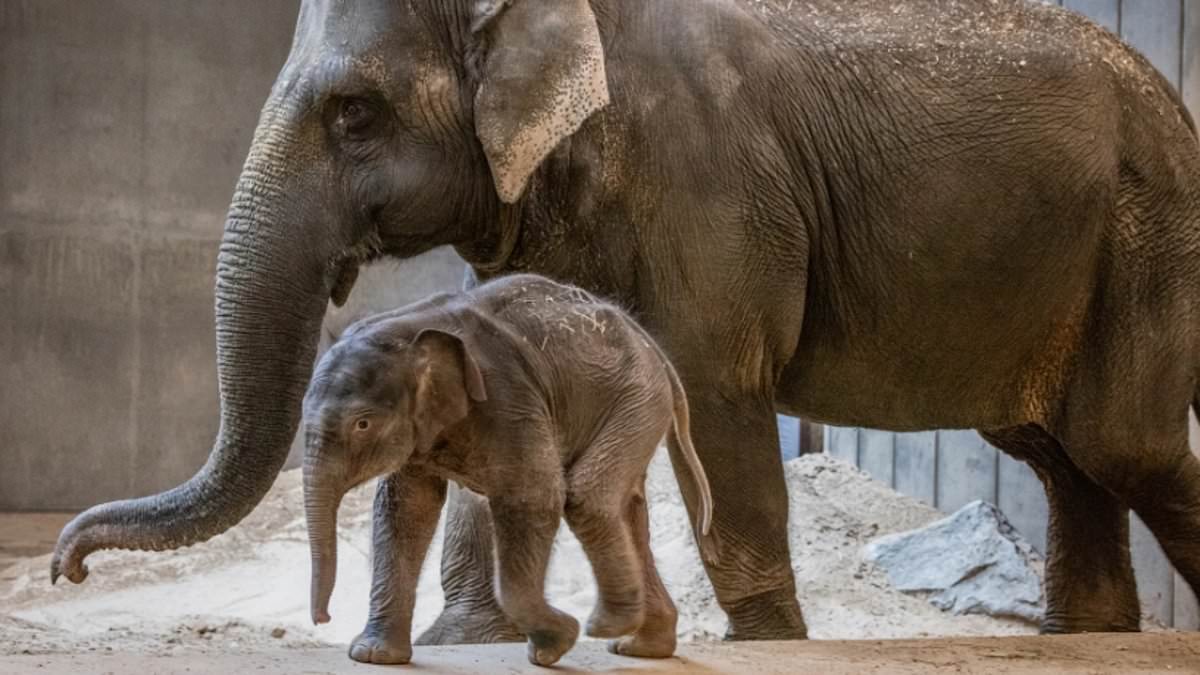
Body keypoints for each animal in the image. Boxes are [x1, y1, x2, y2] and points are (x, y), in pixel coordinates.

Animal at [301, 272, 716, 665]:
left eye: (362, 424)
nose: (322, 619)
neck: (410, 324)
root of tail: (653, 348)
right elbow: (405, 510)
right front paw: (373, 657)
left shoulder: (508, 397)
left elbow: (533, 497)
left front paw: (556, 643)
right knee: (627, 510)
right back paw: (640, 646)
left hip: (636, 398)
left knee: (588, 499)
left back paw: (607, 627)